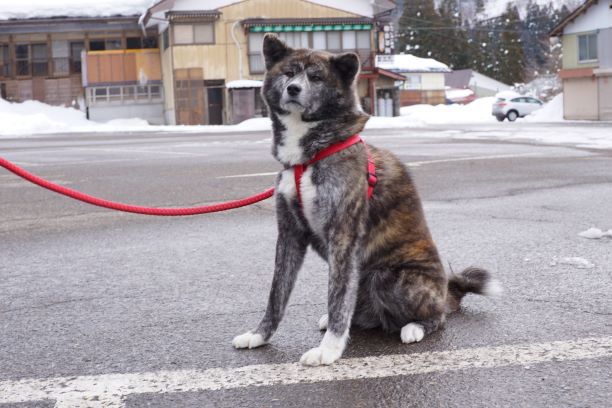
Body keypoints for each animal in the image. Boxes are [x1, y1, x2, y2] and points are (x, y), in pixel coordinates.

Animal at [232, 34, 500, 366]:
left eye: (316, 77)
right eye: (288, 73)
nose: (293, 89)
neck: (308, 158)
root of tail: (446, 291)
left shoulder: (344, 235)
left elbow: (336, 301)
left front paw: (328, 350)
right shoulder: (290, 235)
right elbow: (277, 294)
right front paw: (259, 335)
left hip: (387, 277)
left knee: (437, 317)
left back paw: (414, 327)